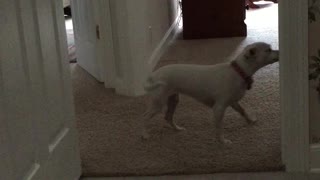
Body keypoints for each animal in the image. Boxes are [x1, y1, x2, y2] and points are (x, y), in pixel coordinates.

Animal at [141, 41, 278, 144]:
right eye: (268, 50)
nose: (280, 52)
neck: (238, 72)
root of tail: (154, 75)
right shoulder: (219, 108)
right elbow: (219, 127)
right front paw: (222, 141)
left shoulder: (233, 102)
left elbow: (243, 111)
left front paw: (250, 121)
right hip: (158, 103)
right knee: (145, 117)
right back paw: (145, 134)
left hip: (173, 100)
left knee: (168, 117)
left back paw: (177, 129)